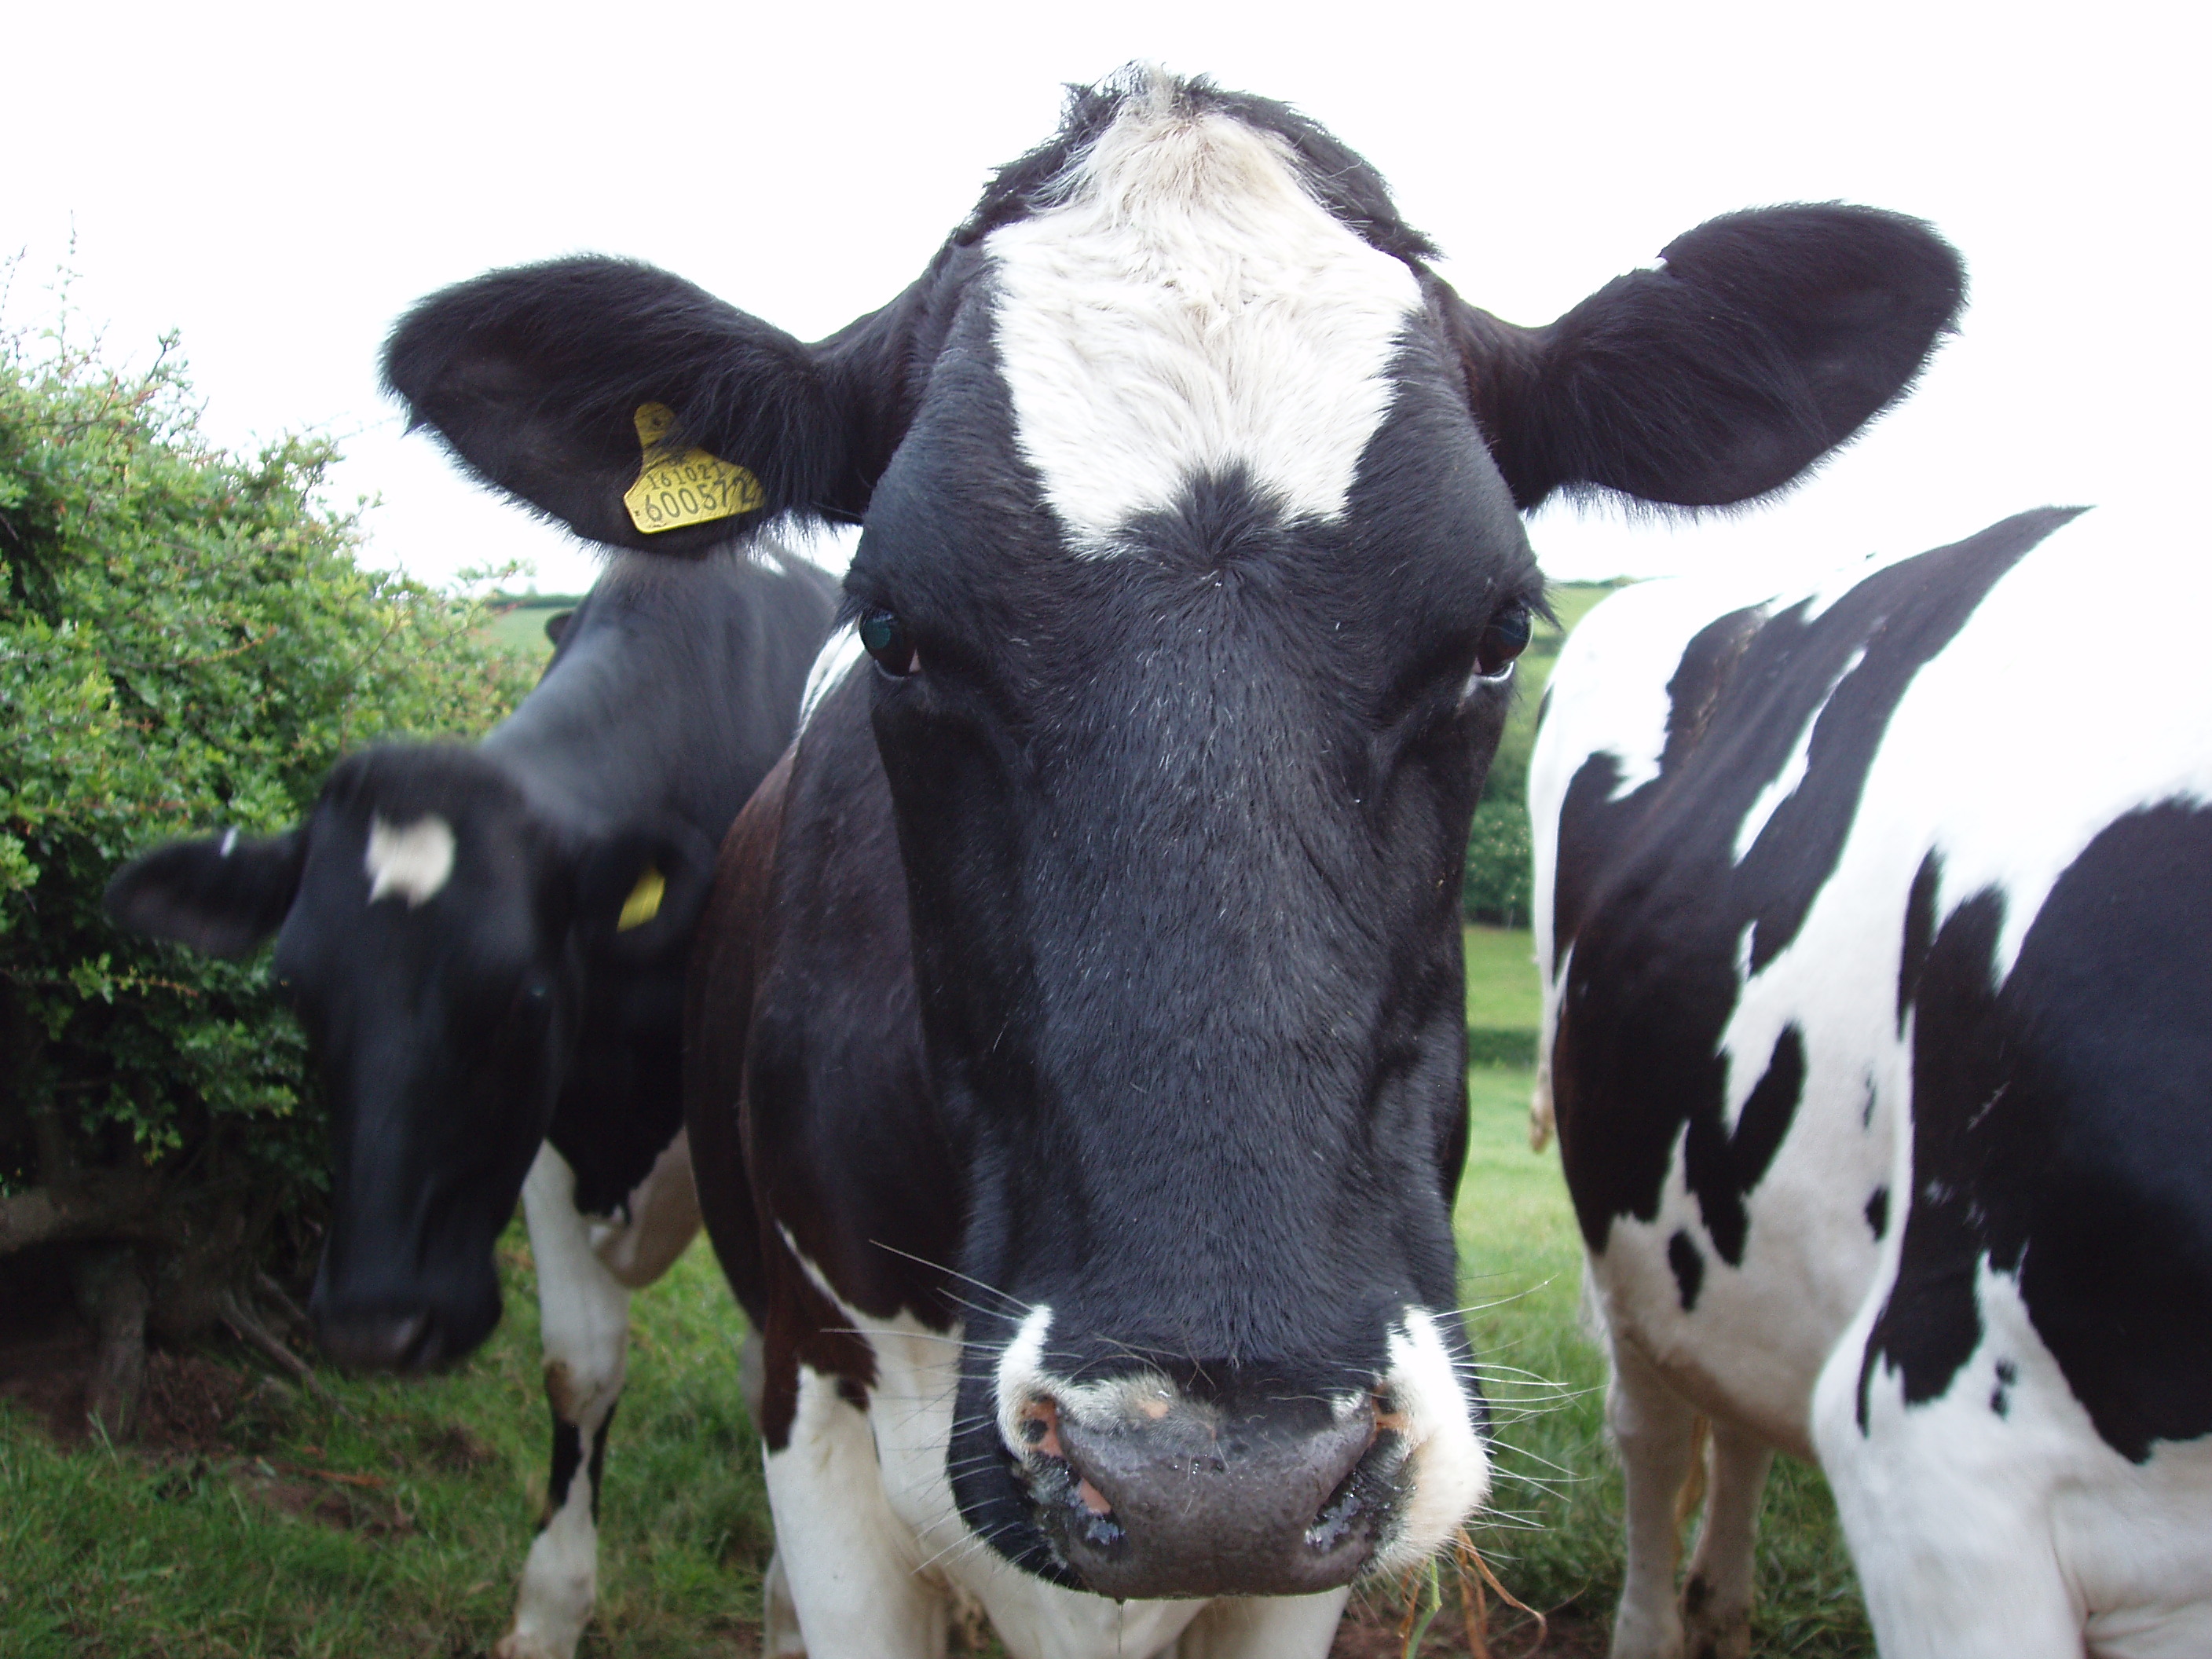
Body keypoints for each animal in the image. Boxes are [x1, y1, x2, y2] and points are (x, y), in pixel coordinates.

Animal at [103, 542, 837, 1659]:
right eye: (297, 990)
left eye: (524, 995)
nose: (376, 1322)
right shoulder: (543, 1144)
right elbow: (580, 1370)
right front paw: (545, 1613)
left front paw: (795, 1608)